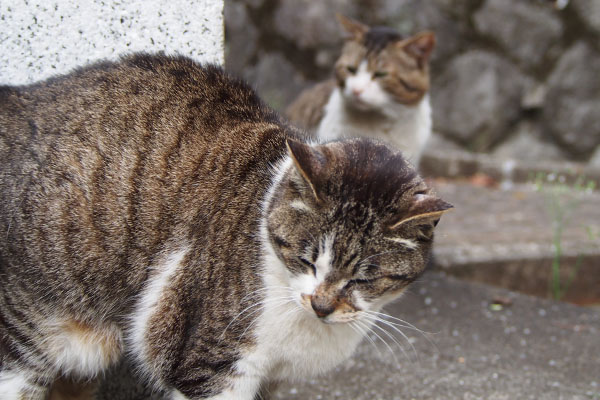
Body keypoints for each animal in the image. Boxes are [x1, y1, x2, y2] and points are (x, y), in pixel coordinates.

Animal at [0, 54, 450, 400]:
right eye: (306, 260)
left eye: (363, 279)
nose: (322, 306)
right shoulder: (211, 364)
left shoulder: (270, 381)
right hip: (22, 335)